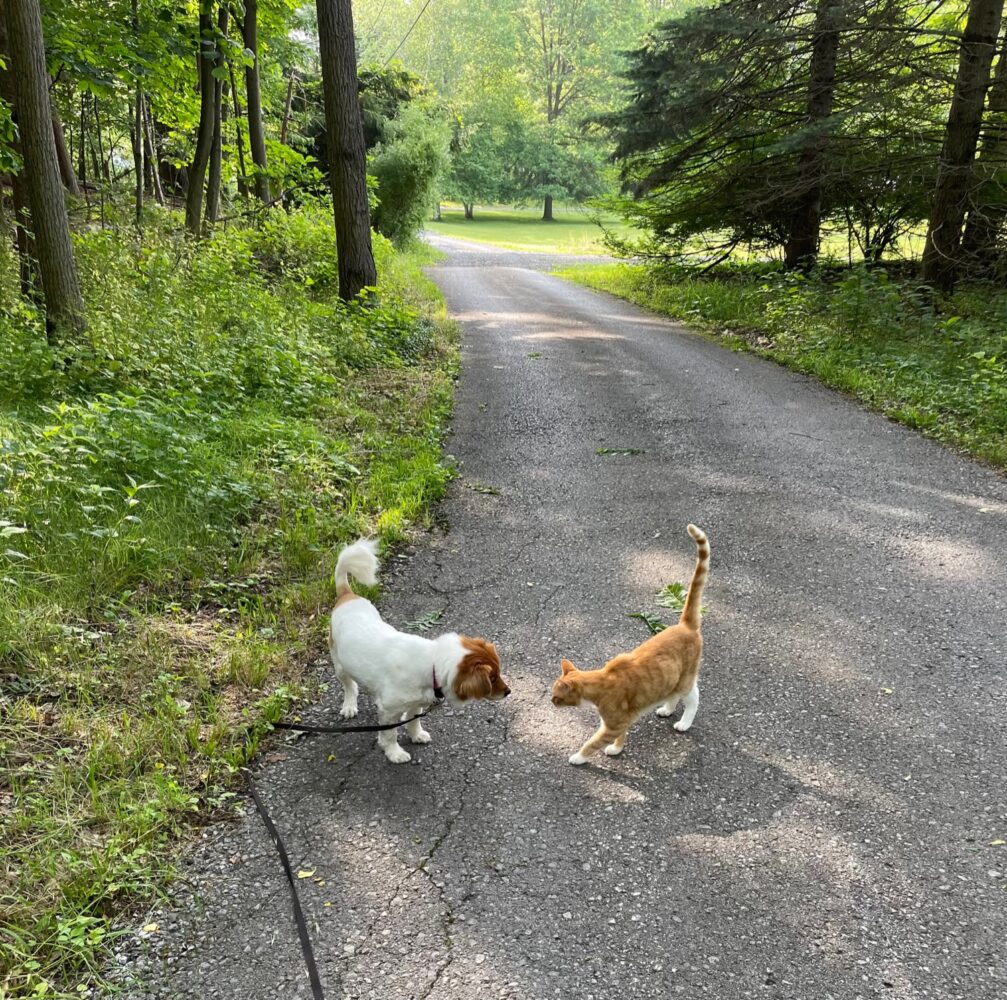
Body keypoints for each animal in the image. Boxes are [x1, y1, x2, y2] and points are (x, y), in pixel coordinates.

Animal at [328, 543, 507, 761]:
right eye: (492, 678)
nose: (508, 691)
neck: (432, 665)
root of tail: (346, 595)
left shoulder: (416, 703)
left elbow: (413, 720)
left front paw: (416, 735)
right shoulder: (389, 711)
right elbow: (390, 734)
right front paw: (394, 752)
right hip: (339, 665)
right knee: (349, 687)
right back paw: (349, 706)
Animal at [551, 523, 708, 765]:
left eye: (557, 696)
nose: (551, 701)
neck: (600, 682)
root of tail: (685, 625)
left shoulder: (613, 724)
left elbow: (592, 743)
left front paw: (578, 757)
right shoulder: (619, 722)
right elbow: (621, 736)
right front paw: (617, 749)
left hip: (685, 680)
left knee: (694, 698)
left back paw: (684, 722)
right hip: (670, 680)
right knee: (673, 695)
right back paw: (667, 709)